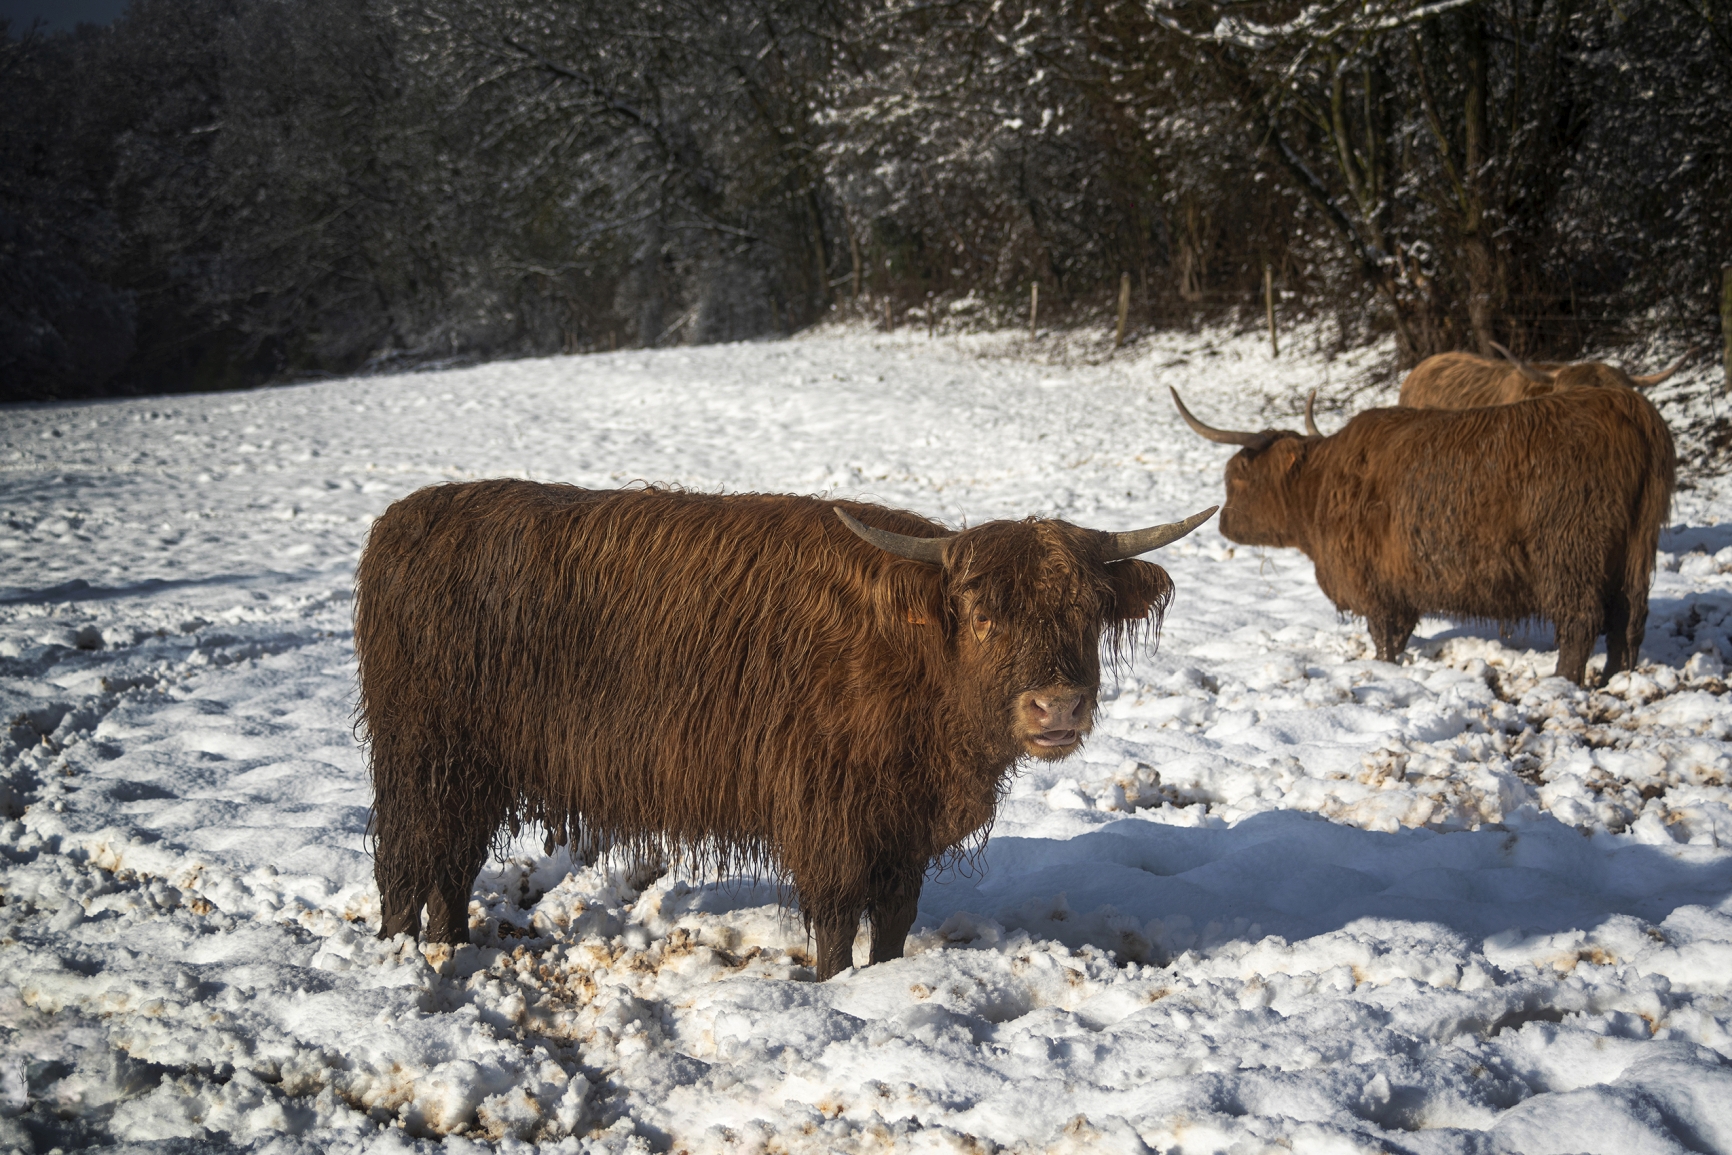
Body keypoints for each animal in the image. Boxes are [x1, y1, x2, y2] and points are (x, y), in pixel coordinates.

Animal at [355, 480, 1214, 980]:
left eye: (1085, 610)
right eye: (981, 613)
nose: (1056, 707)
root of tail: (404, 517)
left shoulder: (903, 825)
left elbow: (893, 917)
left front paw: (884, 980)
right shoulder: (828, 812)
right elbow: (835, 921)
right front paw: (836, 987)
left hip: (470, 767)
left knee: (451, 861)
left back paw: (453, 946)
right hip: (420, 750)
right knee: (406, 857)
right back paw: (403, 956)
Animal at [1173, 386, 1674, 685]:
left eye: (1237, 476)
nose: (1223, 522)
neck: (1319, 489)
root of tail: (1625, 404)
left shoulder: (1372, 581)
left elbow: (1384, 638)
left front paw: (1382, 670)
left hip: (1569, 549)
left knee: (1581, 619)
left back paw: (1563, 682)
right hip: (1632, 553)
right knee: (1628, 618)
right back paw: (1617, 678)